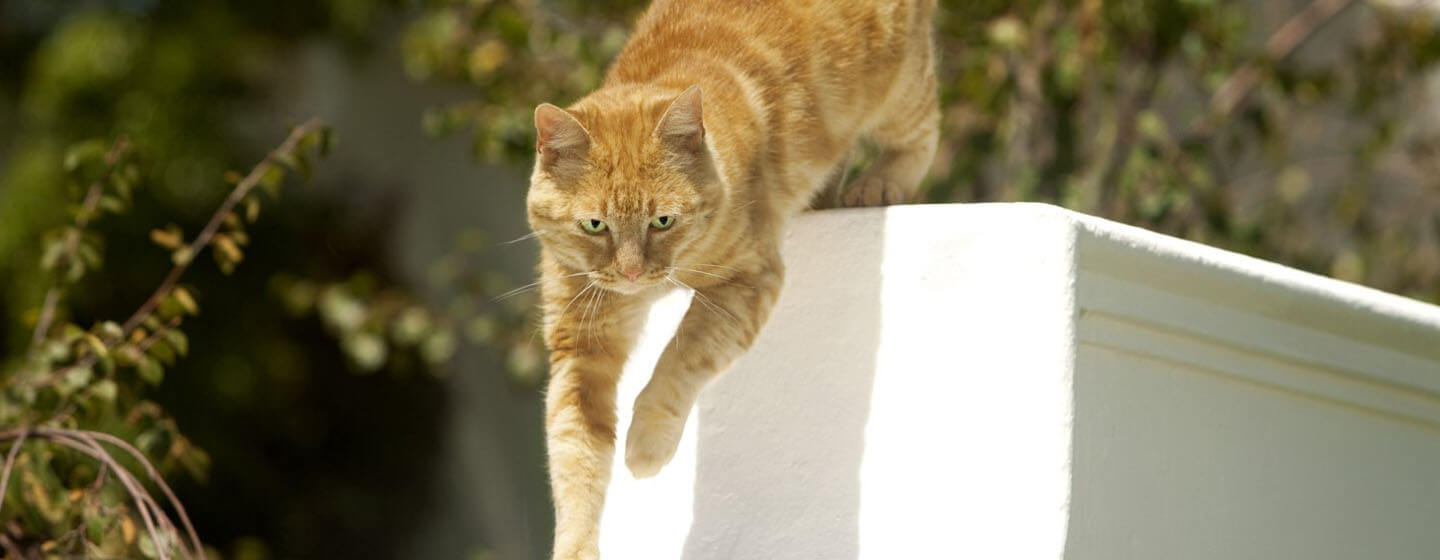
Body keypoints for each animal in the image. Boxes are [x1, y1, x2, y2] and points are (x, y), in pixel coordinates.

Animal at [524, 2, 938, 555]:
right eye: (595, 225)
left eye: (662, 221)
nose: (632, 271)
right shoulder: (582, 344)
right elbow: (574, 458)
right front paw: (575, 546)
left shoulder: (746, 283)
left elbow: (681, 357)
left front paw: (647, 444)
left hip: (900, 86)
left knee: (921, 131)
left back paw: (879, 183)